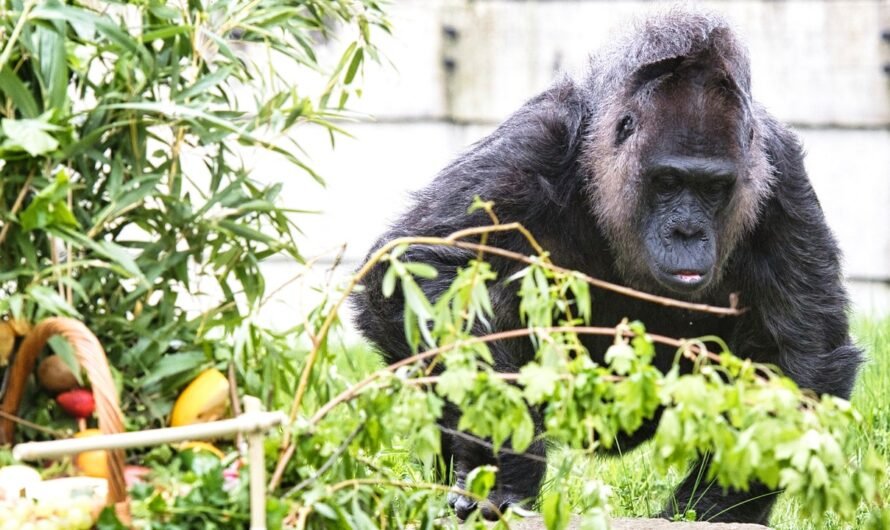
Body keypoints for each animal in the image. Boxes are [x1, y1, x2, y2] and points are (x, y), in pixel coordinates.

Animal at [348, 9, 860, 524]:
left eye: (714, 188)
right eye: (667, 182)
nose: (687, 233)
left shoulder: (781, 174)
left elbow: (800, 350)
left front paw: (716, 505)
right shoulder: (533, 141)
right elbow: (422, 266)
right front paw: (504, 455)